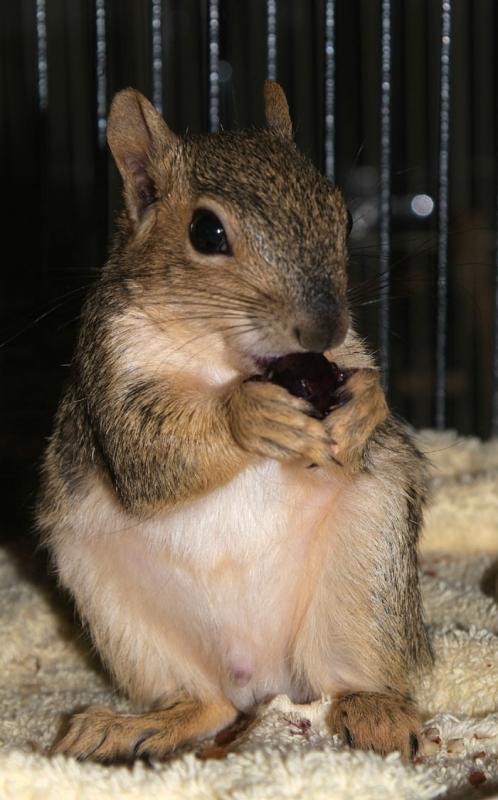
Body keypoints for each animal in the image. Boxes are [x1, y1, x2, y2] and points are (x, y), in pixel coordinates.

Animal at [37, 81, 432, 764]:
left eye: (344, 216)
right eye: (206, 230)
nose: (323, 328)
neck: (222, 351)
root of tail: (263, 677)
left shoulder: (341, 356)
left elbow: (366, 392)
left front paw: (367, 406)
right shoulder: (104, 369)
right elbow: (146, 455)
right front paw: (246, 413)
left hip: (370, 563)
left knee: (348, 678)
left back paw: (377, 710)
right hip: (111, 601)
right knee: (207, 704)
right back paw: (128, 726)